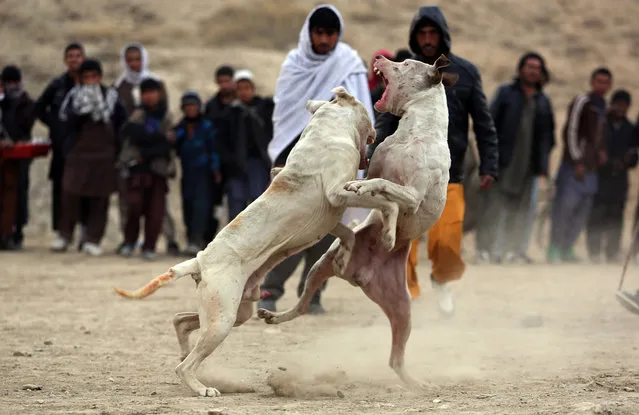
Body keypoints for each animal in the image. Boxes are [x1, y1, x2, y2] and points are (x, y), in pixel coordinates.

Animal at [114, 86, 404, 398]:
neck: (329, 128)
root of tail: (200, 260)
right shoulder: (339, 193)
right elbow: (387, 203)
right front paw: (389, 235)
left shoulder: (330, 215)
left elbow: (347, 232)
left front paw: (345, 255)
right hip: (222, 320)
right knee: (185, 364)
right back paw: (202, 388)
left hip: (236, 312)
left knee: (180, 320)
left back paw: (186, 352)